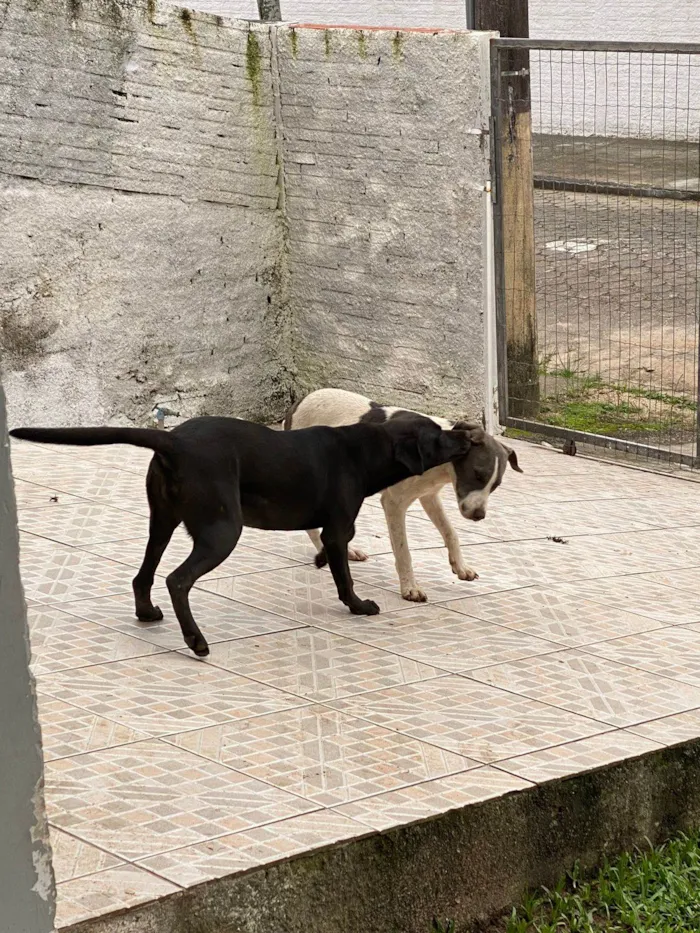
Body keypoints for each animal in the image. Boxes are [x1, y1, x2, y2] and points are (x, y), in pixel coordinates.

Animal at [10, 416, 470, 656]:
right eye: (438, 435)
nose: (467, 433)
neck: (362, 449)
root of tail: (174, 440)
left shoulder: (333, 529)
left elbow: (330, 552)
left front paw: (322, 562)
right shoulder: (338, 524)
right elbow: (344, 574)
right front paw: (358, 606)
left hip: (162, 522)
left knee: (143, 576)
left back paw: (147, 613)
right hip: (222, 531)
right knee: (176, 580)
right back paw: (195, 640)